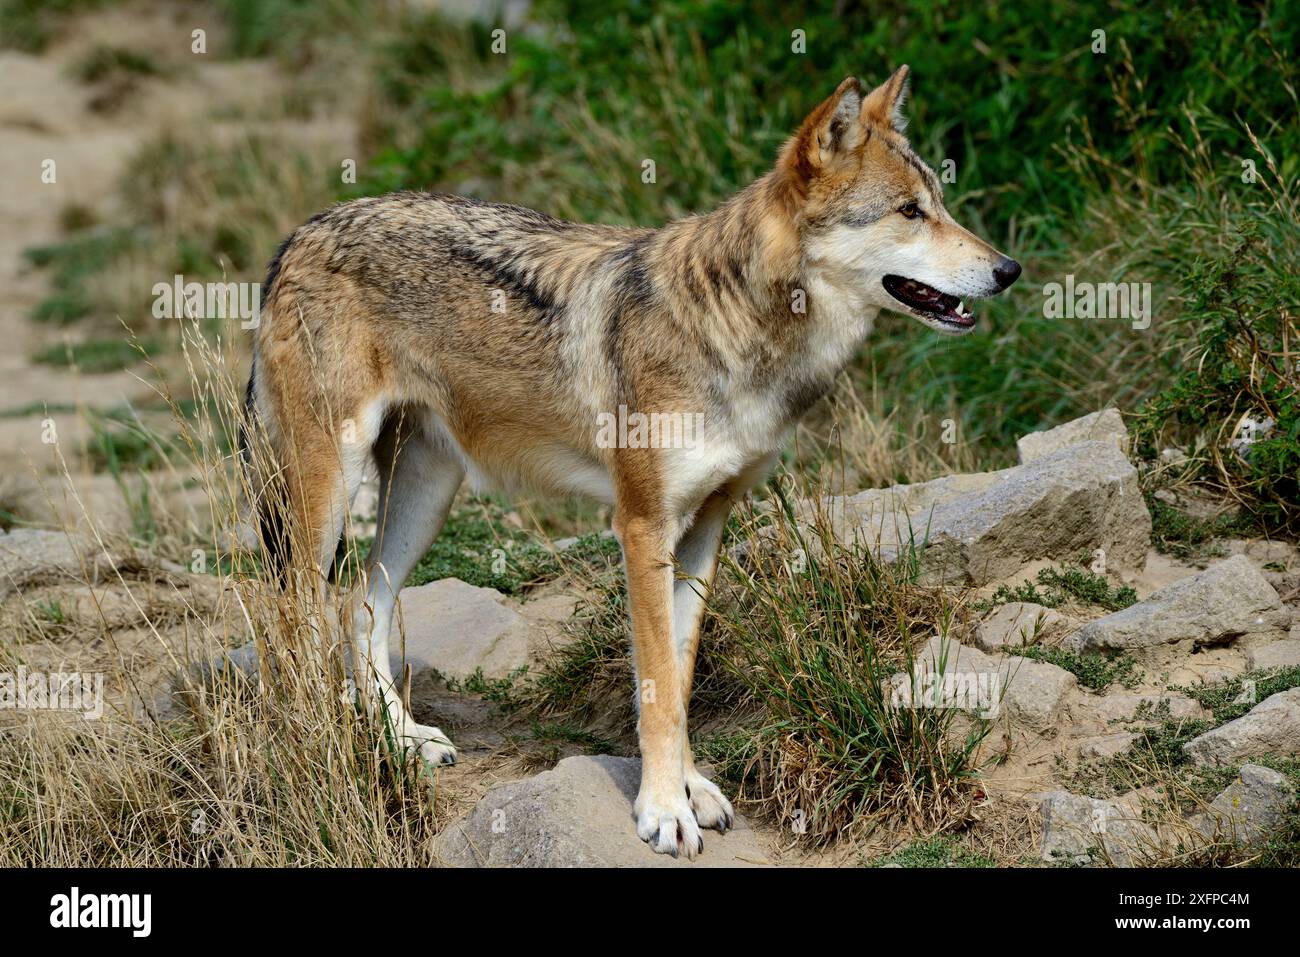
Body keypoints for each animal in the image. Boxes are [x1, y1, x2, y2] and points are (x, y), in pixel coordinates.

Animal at [241, 67, 1013, 858]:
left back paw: (400, 740)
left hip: (426, 492)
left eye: (941, 204)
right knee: (293, 619)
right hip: (327, 491)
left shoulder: (706, 527)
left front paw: (690, 788)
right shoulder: (641, 526)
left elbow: (680, 670)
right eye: (910, 211)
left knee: (361, 604)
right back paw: (320, 748)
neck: (737, 331)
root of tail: (298, 234)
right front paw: (662, 810)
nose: (1009, 269)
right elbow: (657, 689)